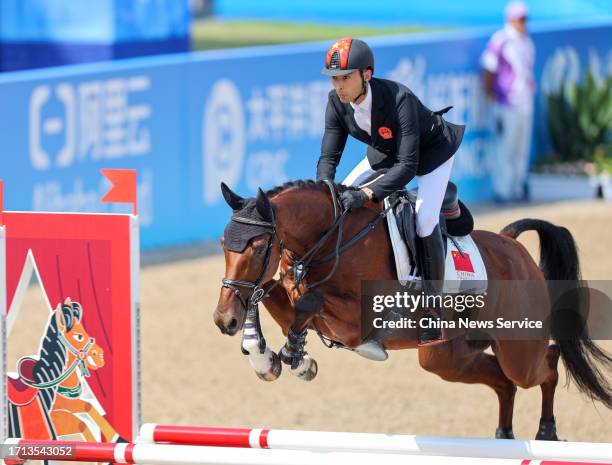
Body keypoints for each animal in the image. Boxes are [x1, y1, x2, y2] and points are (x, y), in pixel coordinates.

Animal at [215, 179, 612, 438]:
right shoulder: (290, 301)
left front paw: (295, 360)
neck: (332, 241)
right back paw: (504, 436)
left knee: (545, 364)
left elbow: (307, 303)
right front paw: (266, 358)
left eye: (257, 246)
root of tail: (511, 243)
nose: (223, 320)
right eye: (222, 243)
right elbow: (267, 296)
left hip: (518, 350)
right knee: (503, 382)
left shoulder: (356, 324)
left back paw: (546, 432)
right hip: (448, 357)